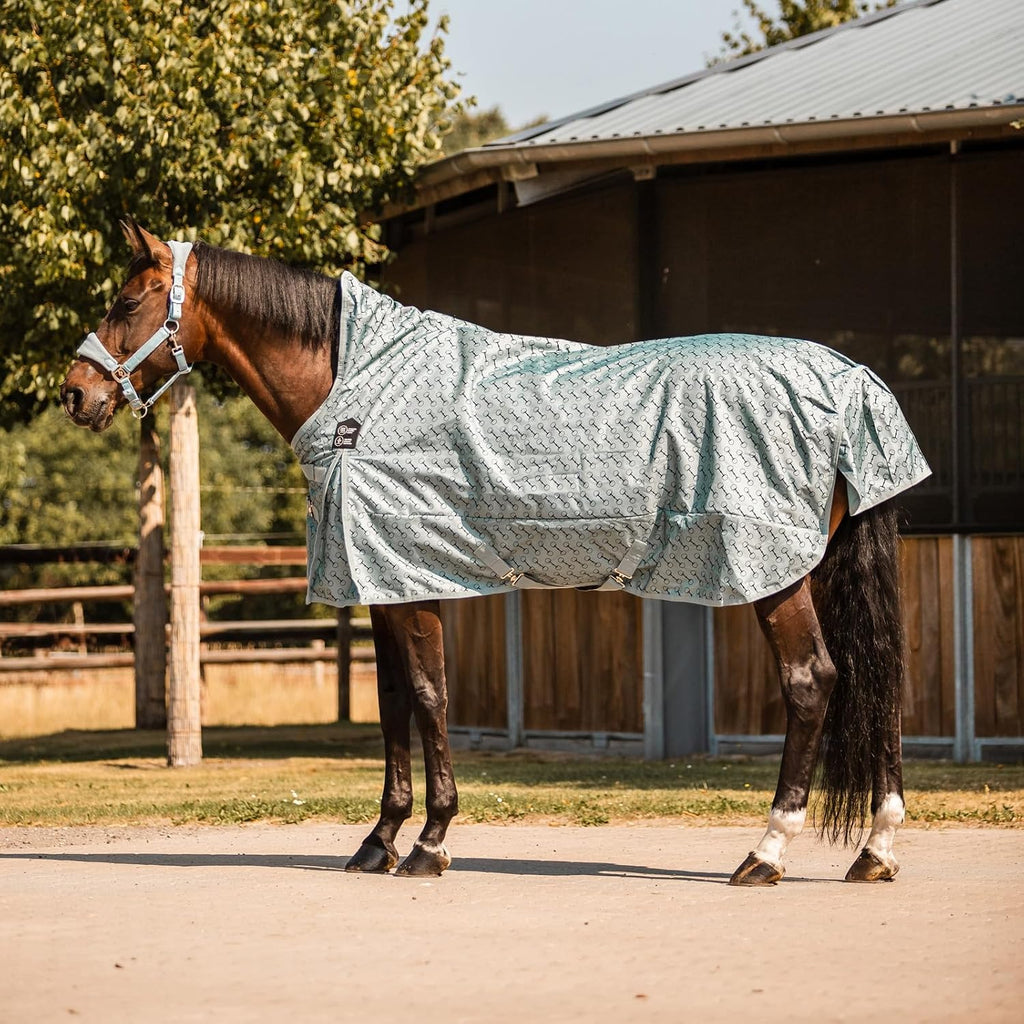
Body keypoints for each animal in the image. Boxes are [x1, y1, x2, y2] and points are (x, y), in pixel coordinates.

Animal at [61, 220, 929, 885]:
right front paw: (379, 841)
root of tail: (851, 382)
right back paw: (874, 851)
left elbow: (430, 696)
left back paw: (767, 852)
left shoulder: (409, 580)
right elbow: (392, 704)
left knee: (813, 682)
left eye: (126, 301)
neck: (355, 397)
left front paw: (431, 842)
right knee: (875, 679)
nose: (75, 393)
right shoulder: (382, 581)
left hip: (772, 574)